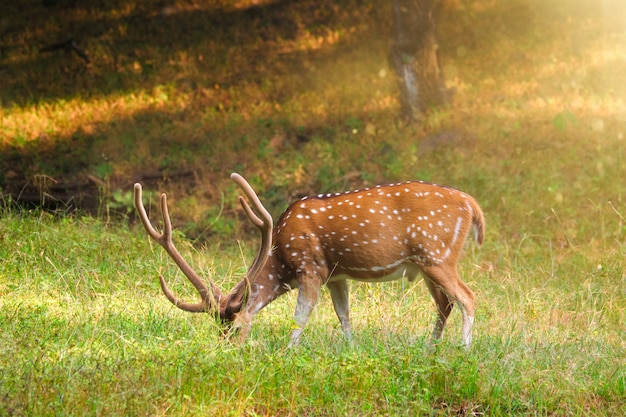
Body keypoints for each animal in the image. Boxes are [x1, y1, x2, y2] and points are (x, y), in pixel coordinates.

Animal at [134, 171, 480, 344]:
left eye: (232, 330)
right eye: (217, 330)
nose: (224, 351)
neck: (281, 258)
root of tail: (472, 204)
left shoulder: (309, 267)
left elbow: (300, 317)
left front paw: (287, 353)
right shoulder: (336, 275)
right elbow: (344, 316)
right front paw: (351, 351)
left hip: (437, 255)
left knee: (467, 296)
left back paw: (463, 350)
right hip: (426, 265)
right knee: (445, 303)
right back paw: (429, 349)